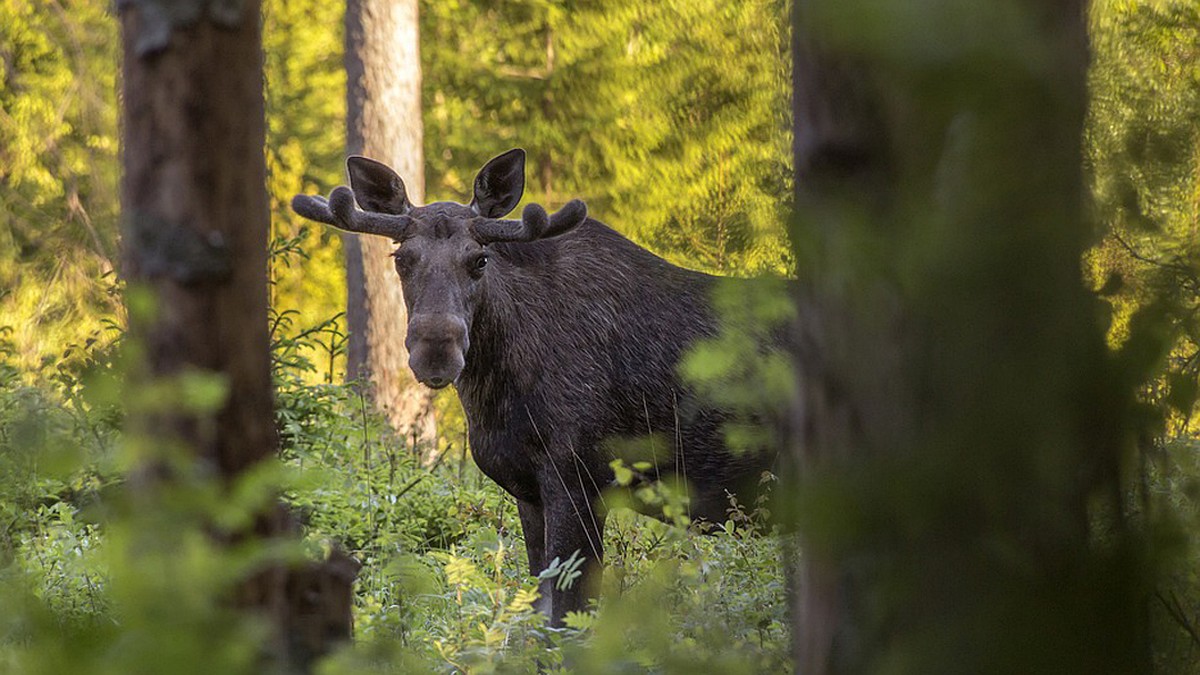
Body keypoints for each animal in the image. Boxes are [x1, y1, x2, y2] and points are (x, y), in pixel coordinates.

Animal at [288, 149, 777, 624]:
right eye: (401, 259)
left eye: (480, 260)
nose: (435, 351)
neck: (497, 396)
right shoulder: (528, 489)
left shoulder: (581, 477)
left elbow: (565, 617)